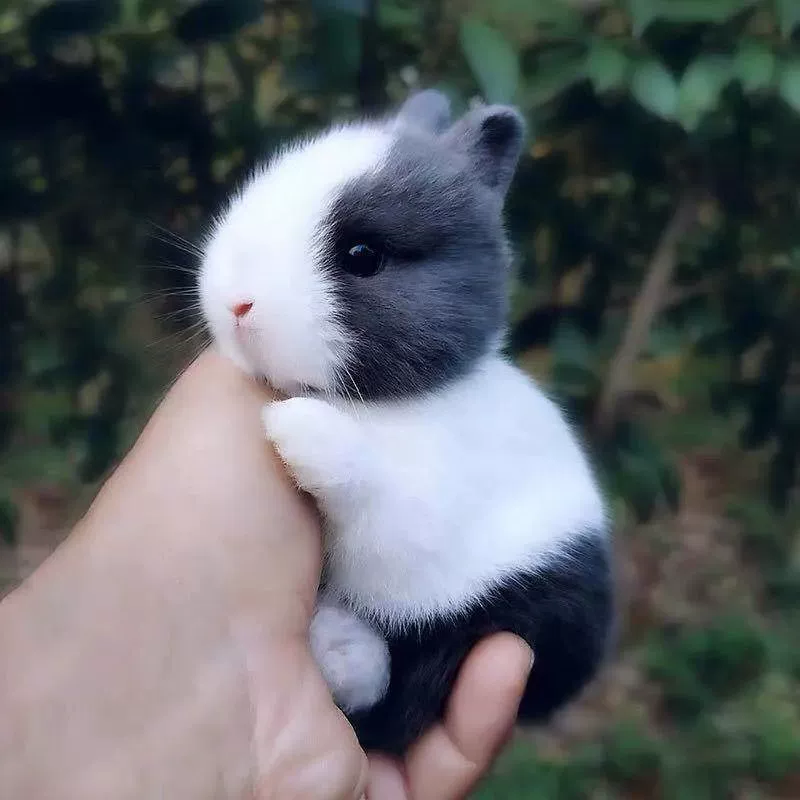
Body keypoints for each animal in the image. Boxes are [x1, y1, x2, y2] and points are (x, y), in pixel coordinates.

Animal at [198, 89, 614, 755]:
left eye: (362, 257)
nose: (235, 303)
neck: (395, 402)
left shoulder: (416, 507)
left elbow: (362, 478)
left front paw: (293, 425)